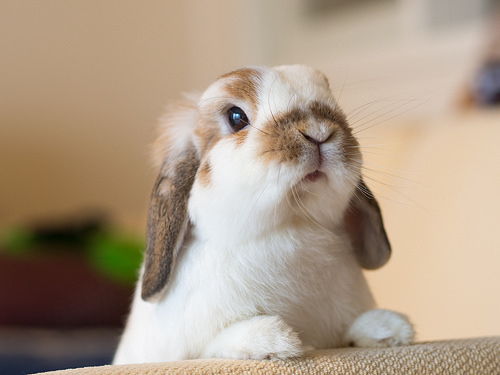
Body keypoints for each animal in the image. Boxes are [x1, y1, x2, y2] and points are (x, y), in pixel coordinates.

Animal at [113, 66, 414, 366]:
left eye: (332, 103)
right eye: (236, 117)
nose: (319, 132)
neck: (292, 223)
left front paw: (391, 328)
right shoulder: (191, 349)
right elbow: (216, 344)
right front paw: (275, 339)